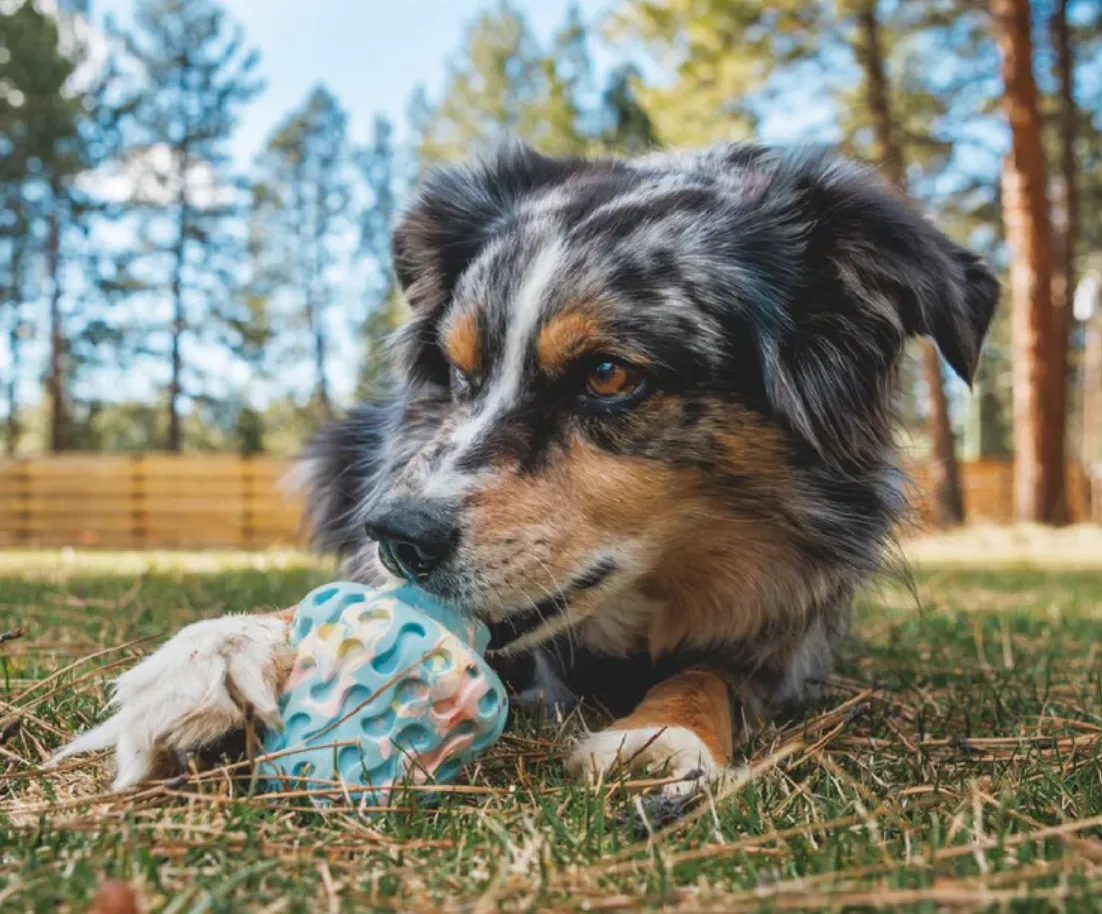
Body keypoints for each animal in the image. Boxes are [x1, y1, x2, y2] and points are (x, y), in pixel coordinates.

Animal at [51, 141, 1000, 793]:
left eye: (610, 375)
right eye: (460, 371)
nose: (395, 533)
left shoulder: (787, 639)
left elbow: (707, 674)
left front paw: (661, 732)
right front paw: (212, 657)